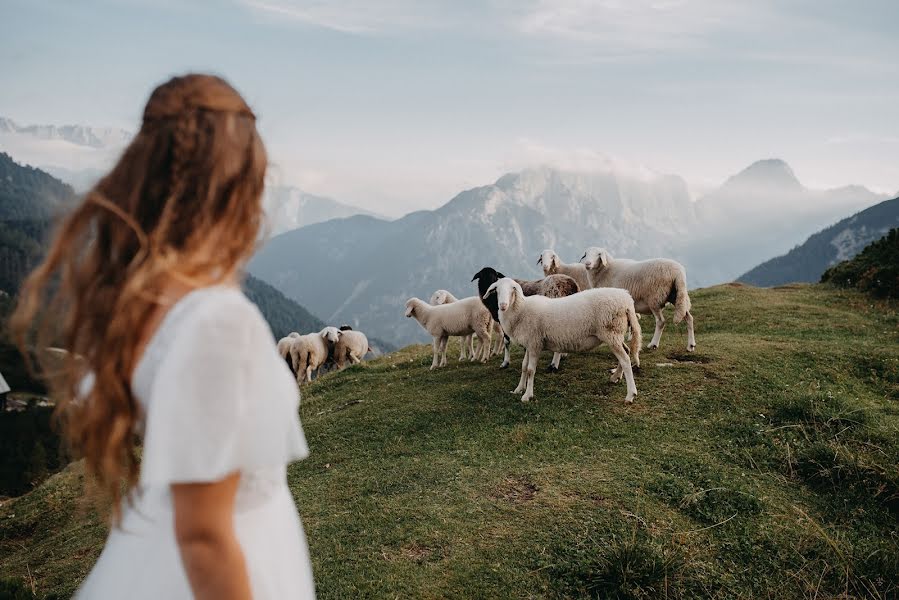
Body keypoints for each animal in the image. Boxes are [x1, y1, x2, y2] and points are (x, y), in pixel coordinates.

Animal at [486, 278, 640, 404]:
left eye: (513, 289)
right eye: (497, 290)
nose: (503, 305)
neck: (521, 310)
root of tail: (627, 299)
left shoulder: (535, 343)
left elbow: (530, 370)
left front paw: (527, 395)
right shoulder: (529, 343)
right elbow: (524, 367)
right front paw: (518, 389)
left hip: (611, 333)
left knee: (625, 360)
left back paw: (630, 395)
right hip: (615, 334)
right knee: (626, 351)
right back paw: (615, 377)